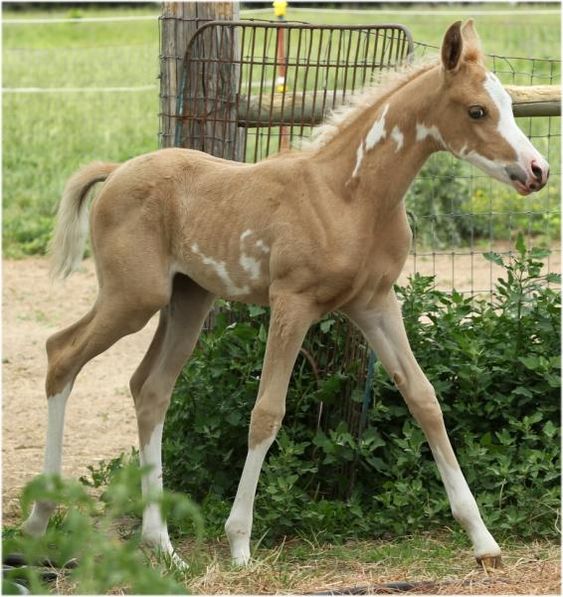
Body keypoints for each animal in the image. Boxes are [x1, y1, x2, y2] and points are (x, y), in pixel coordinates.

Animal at [24, 19, 548, 568]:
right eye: (477, 110)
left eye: (509, 104)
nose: (538, 171)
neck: (348, 195)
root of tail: (116, 171)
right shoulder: (292, 303)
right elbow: (266, 413)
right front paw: (239, 545)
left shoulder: (375, 304)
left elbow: (423, 399)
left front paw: (483, 541)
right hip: (133, 298)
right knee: (62, 354)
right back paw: (39, 520)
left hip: (187, 301)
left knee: (150, 390)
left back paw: (163, 547)